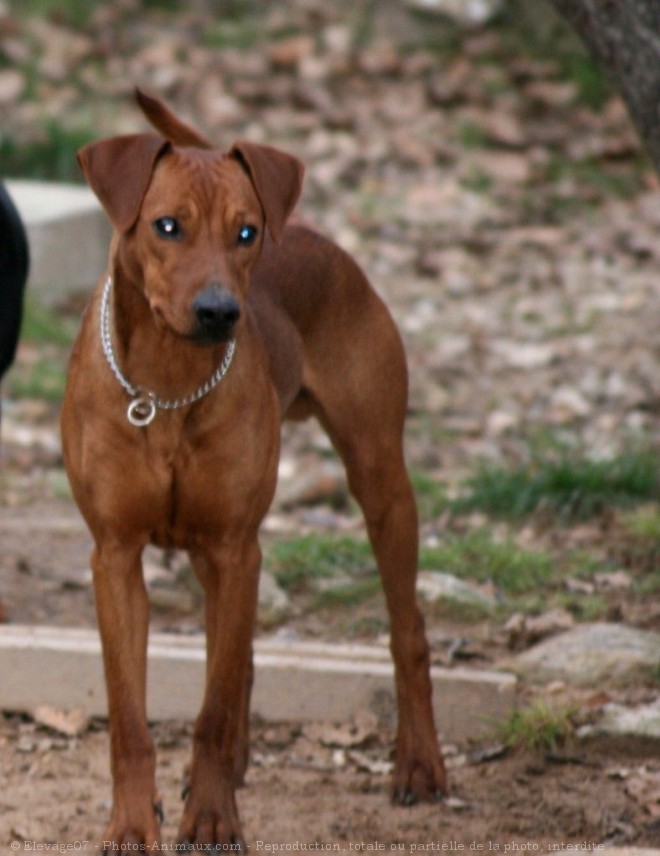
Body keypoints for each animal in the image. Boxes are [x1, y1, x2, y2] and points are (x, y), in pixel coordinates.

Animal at [60, 90, 448, 852]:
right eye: (167, 226)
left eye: (244, 234)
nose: (219, 312)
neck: (167, 388)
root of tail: (310, 231)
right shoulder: (116, 556)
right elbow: (130, 720)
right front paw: (133, 823)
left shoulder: (235, 546)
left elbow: (209, 712)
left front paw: (211, 818)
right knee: (234, 657)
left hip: (378, 481)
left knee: (406, 631)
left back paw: (419, 763)